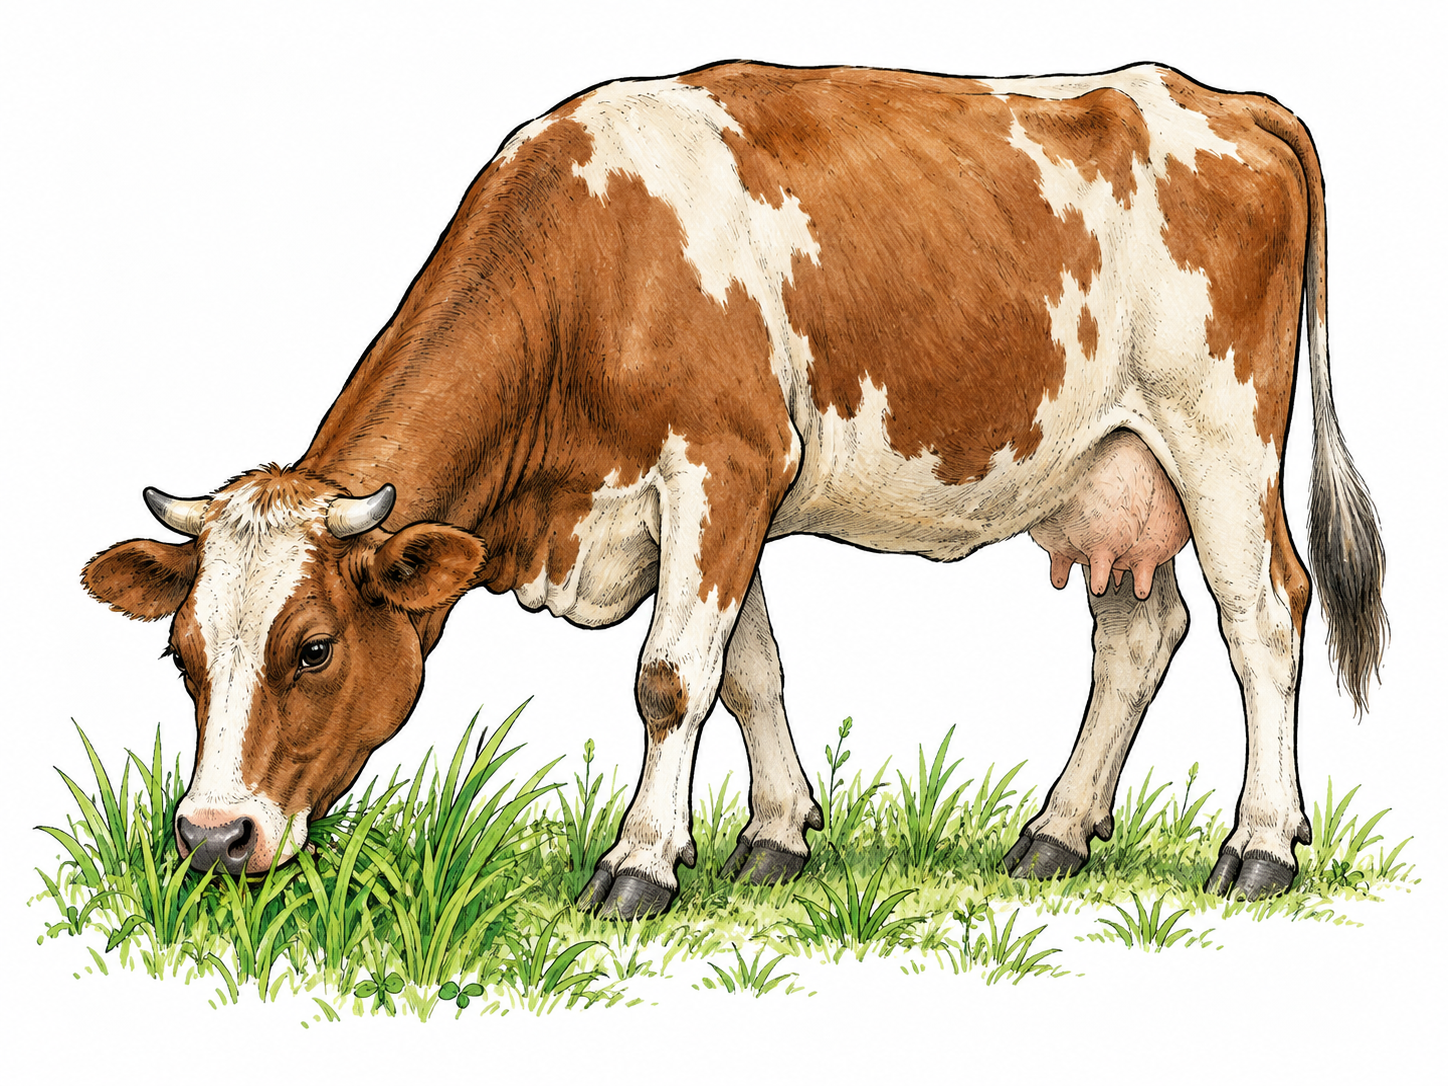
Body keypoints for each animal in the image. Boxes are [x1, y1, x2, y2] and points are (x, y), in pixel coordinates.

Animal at [82, 62, 1386, 919]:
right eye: (182, 656)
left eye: (312, 648)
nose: (210, 836)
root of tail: (1211, 96)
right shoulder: (713, 502)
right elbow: (745, 669)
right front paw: (774, 836)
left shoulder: (722, 465)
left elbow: (669, 680)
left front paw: (638, 864)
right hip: (1112, 468)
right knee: (1137, 634)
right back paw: (1055, 833)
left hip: (1216, 433)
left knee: (1262, 616)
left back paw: (1260, 848)